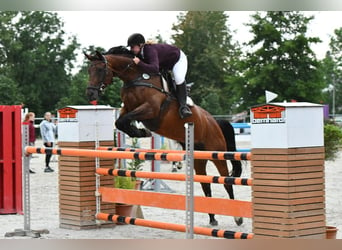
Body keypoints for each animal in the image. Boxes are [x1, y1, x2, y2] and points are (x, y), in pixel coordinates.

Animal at [85, 47, 243, 227]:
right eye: (88, 70)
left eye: (99, 69)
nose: (90, 94)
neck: (136, 78)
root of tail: (214, 122)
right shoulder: (127, 108)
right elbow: (120, 122)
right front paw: (139, 132)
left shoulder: (150, 109)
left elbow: (125, 120)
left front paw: (141, 132)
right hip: (199, 158)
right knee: (205, 184)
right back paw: (212, 219)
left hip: (217, 154)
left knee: (226, 182)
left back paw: (237, 218)